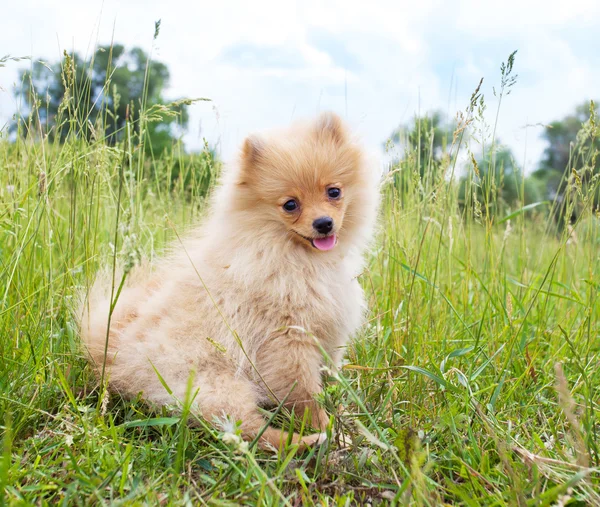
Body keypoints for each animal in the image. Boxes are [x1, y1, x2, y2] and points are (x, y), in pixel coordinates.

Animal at [79, 113, 378, 450]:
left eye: (333, 192)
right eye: (290, 204)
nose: (324, 223)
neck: (293, 257)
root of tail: (109, 354)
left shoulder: (328, 340)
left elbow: (331, 387)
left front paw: (349, 418)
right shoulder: (287, 342)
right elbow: (307, 396)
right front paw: (332, 432)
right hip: (215, 383)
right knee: (247, 430)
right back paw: (307, 442)